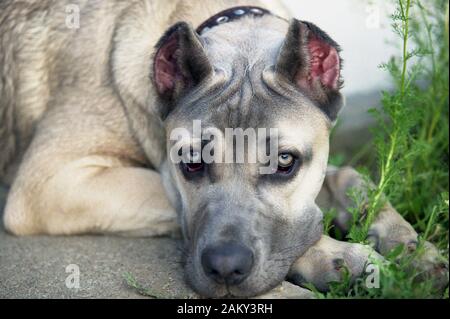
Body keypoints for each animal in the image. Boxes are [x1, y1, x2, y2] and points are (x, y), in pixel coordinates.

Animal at [0, 0, 446, 300]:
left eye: (285, 162)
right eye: (192, 163)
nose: (226, 269)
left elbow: (348, 176)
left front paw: (409, 244)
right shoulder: (51, 183)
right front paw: (335, 257)